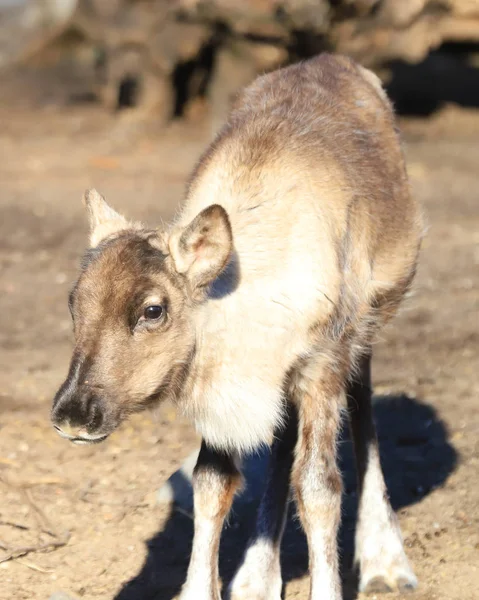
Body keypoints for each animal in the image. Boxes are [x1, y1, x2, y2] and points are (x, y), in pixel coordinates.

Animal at [50, 54, 422, 596]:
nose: (74, 414)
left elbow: (320, 489)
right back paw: (255, 577)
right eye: (74, 302)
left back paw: (384, 559)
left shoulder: (322, 363)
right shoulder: (227, 387)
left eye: (153, 310)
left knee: (362, 407)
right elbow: (211, 484)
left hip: (365, 328)